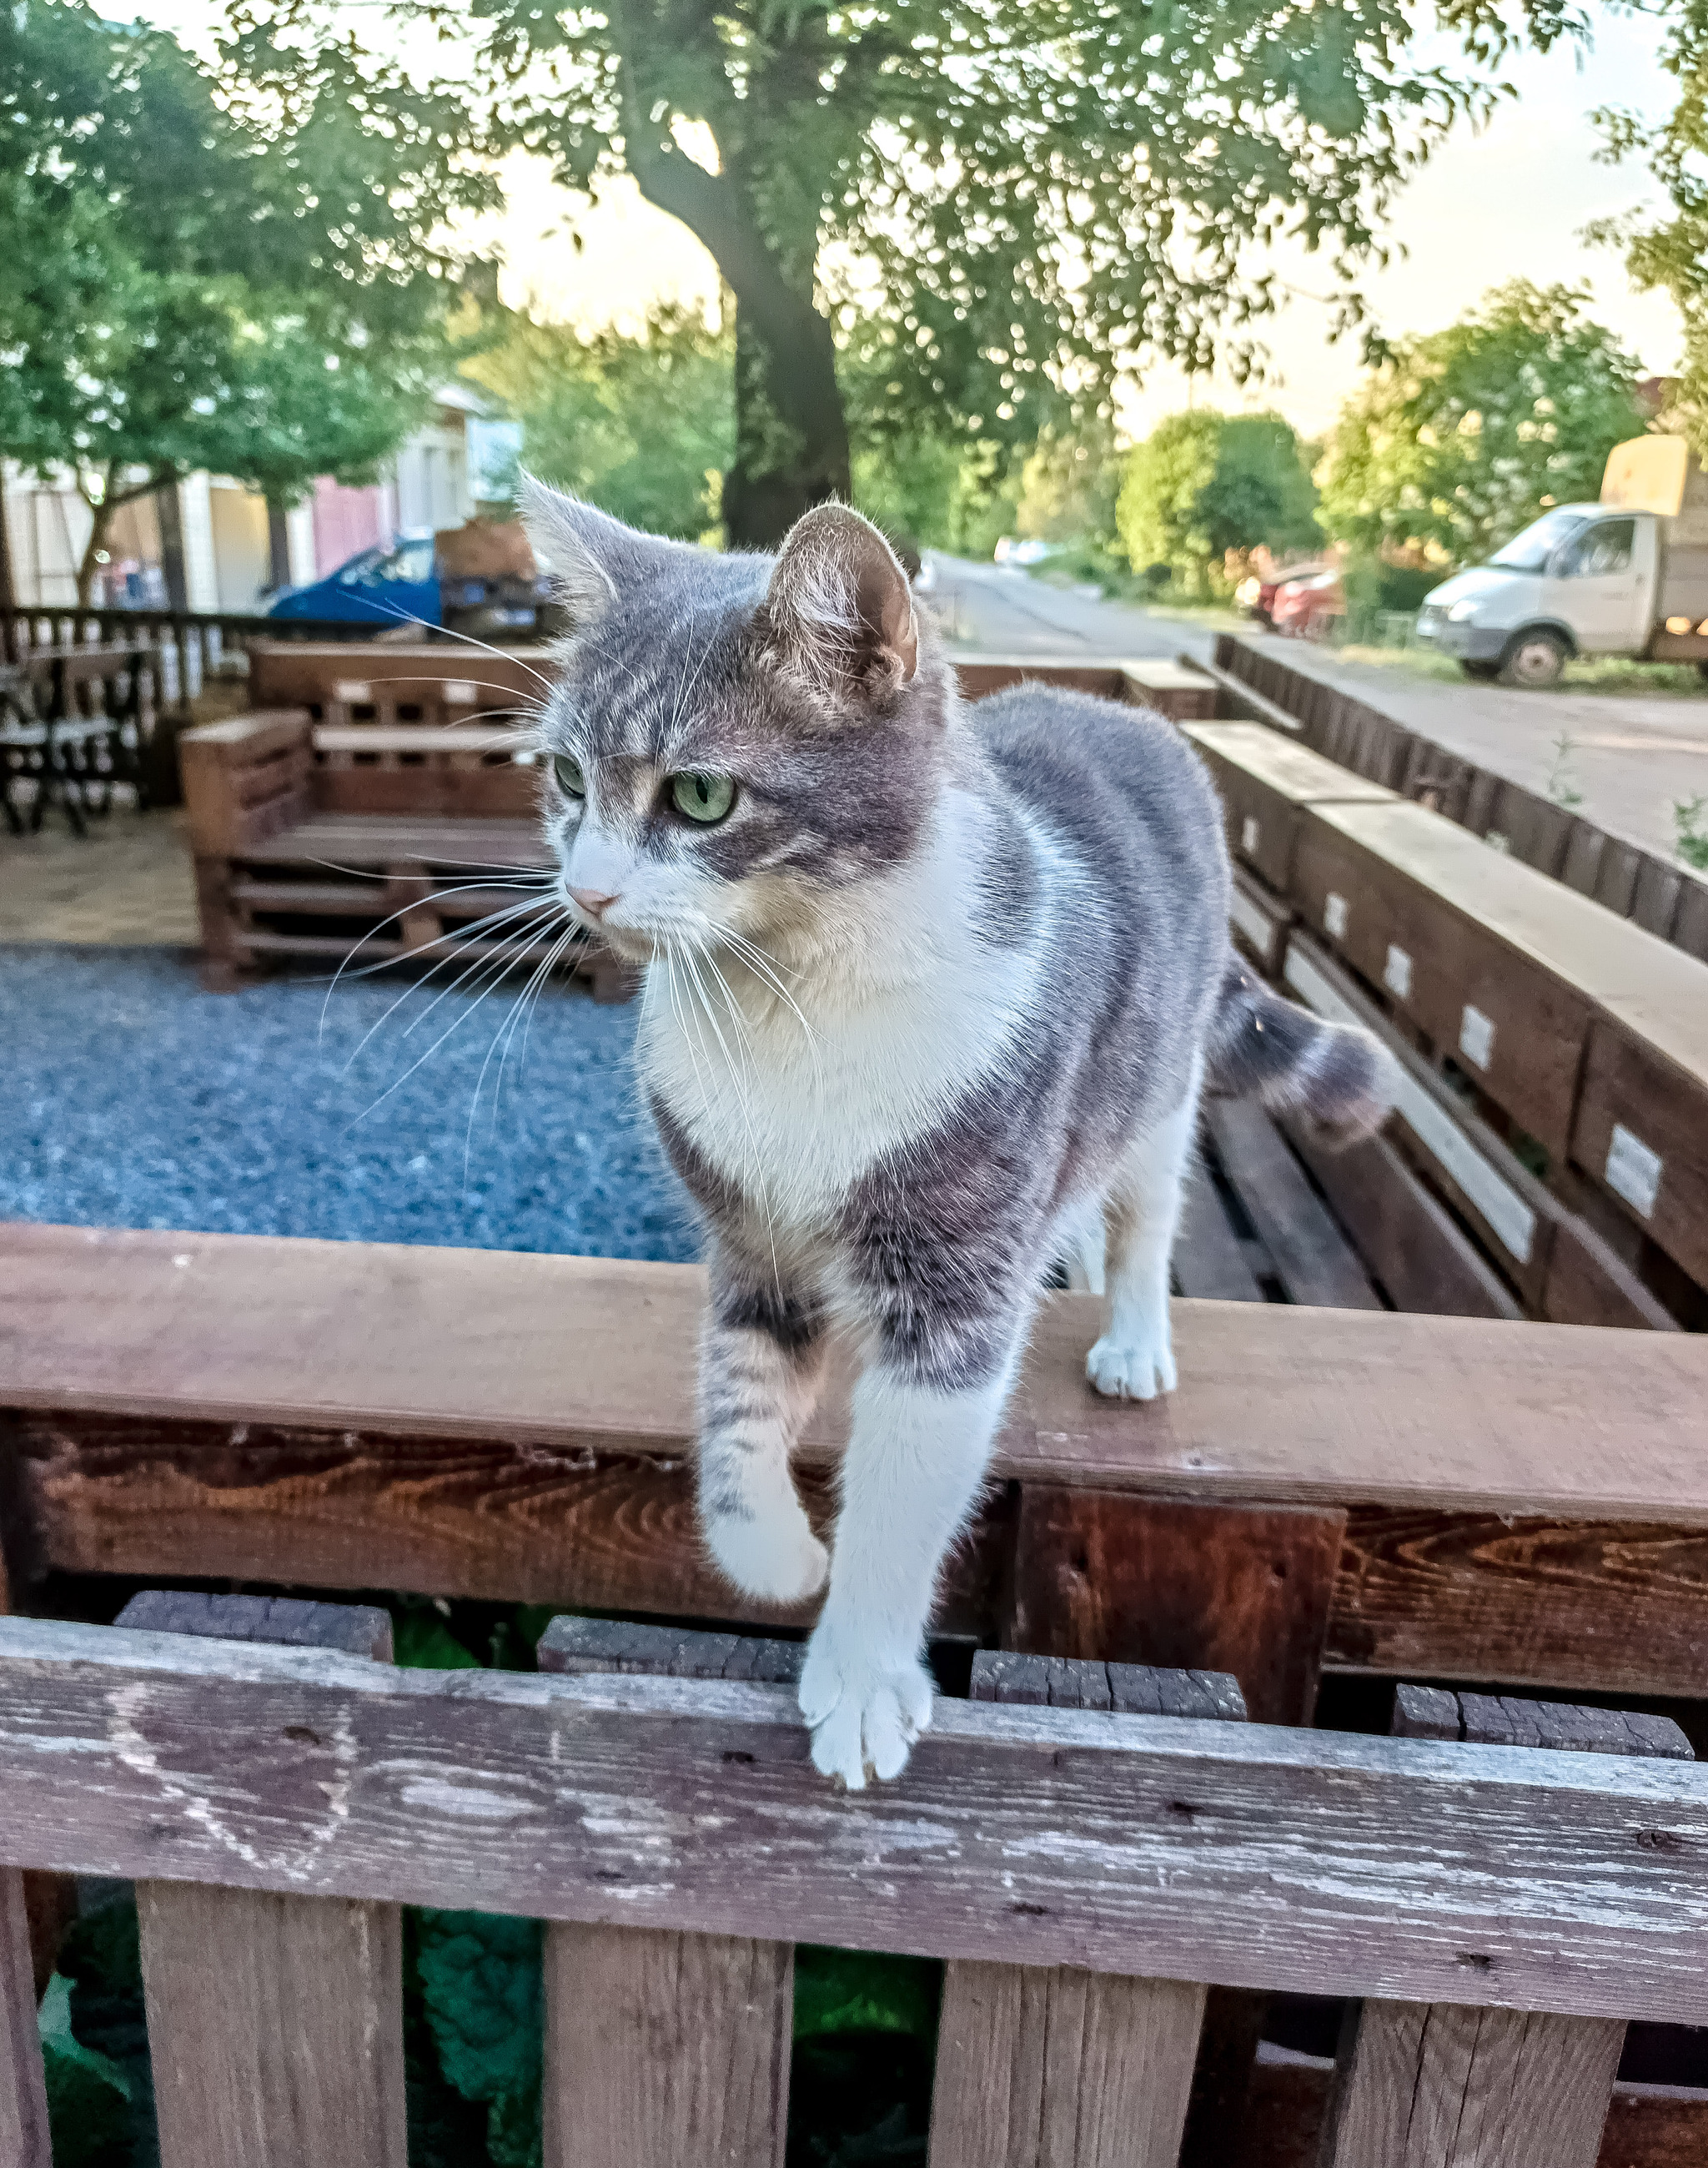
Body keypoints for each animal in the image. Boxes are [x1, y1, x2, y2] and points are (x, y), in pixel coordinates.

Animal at [526, 483, 1395, 1786]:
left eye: (700, 796)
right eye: (566, 777)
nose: (585, 889)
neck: (787, 998)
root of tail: (1123, 716)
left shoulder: (955, 1270)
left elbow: (905, 1485)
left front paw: (861, 1674)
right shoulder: (751, 1244)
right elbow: (736, 1396)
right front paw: (769, 1551)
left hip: (1156, 1083)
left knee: (1144, 1213)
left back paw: (1132, 1333)